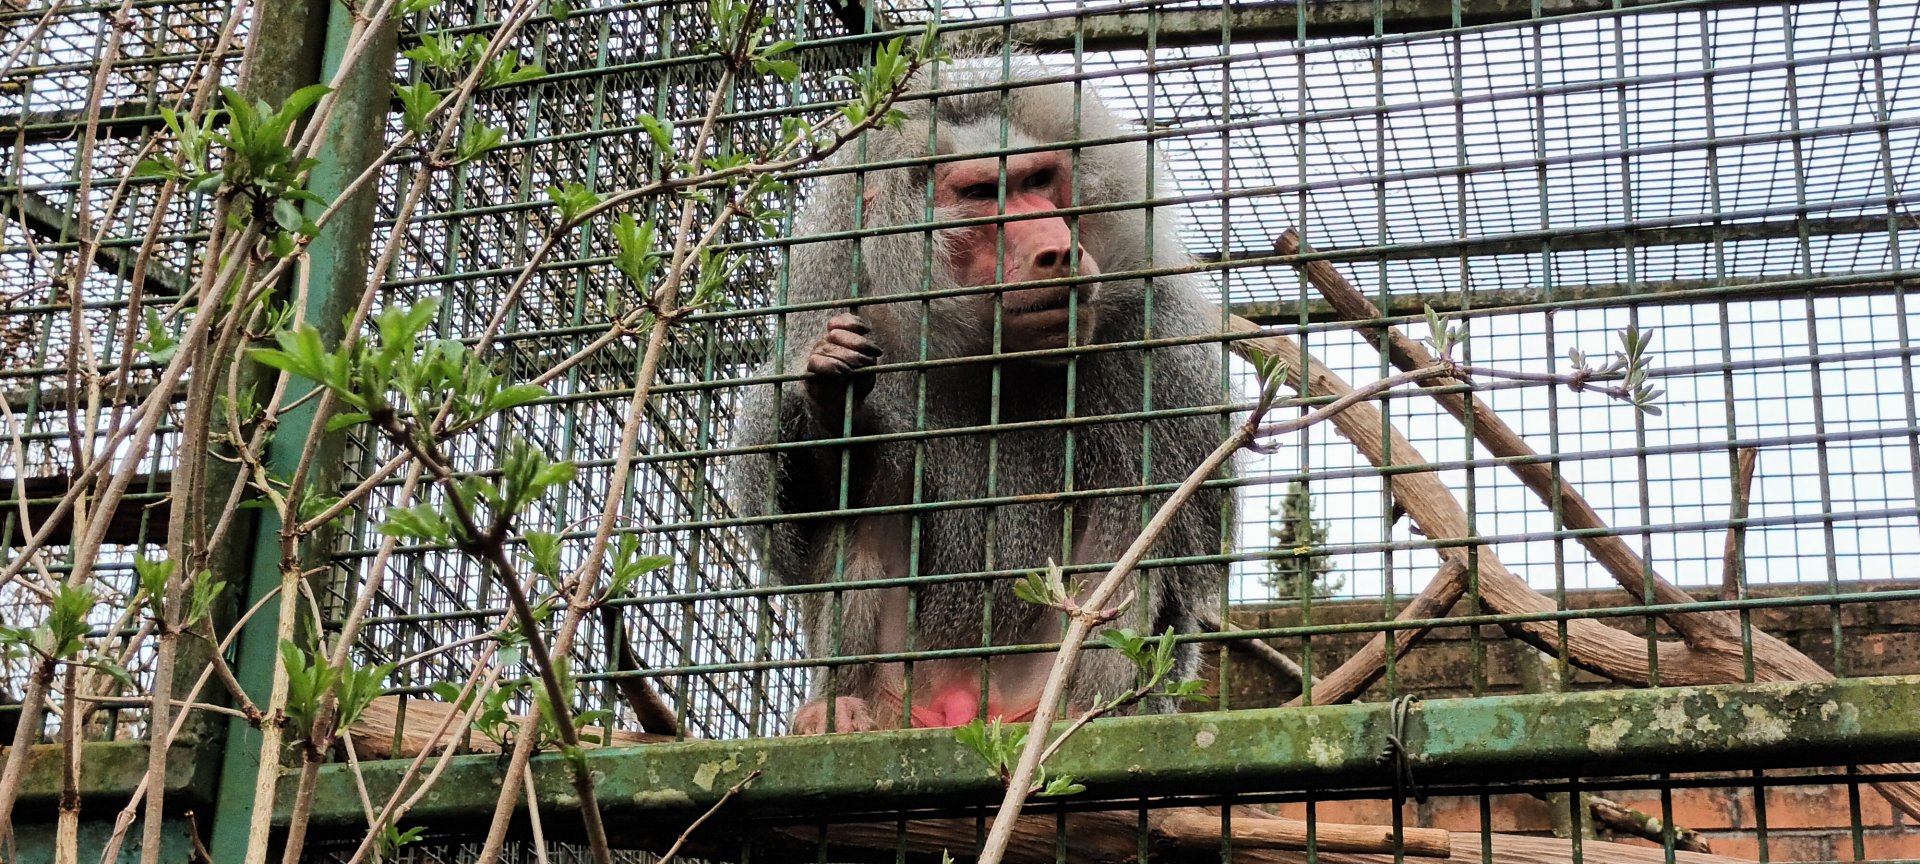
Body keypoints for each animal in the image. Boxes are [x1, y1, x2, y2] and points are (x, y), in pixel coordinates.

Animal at [730, 60, 1231, 735]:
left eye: (1039, 180)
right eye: (978, 194)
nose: (1057, 250)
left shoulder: (1160, 346)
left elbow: (1179, 550)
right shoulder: (835, 317)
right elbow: (797, 521)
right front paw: (833, 400)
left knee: (1129, 513)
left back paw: (1084, 712)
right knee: (869, 495)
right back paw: (838, 710)